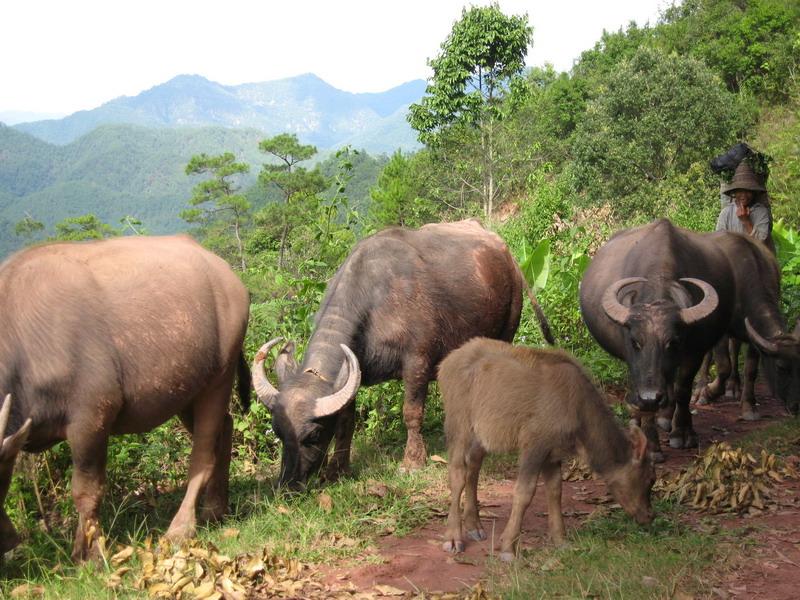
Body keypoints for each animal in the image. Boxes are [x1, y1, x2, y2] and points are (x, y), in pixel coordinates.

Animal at [0, 233, 250, 556]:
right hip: (188, 390)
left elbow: (86, 490)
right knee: (226, 426)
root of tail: (228, 276)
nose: (8, 540)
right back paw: (215, 509)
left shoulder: (92, 419)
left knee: (203, 454)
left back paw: (181, 528)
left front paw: (90, 553)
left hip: (220, 377)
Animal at [252, 218, 552, 490]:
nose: (287, 484)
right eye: (279, 432)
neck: (375, 302)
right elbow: (345, 423)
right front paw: (337, 470)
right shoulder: (350, 374)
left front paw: (412, 462)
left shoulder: (417, 361)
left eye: (313, 435)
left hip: (507, 328)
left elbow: (412, 412)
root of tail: (505, 252)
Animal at [438, 338, 656, 564]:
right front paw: (508, 547)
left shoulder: (553, 454)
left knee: (473, 465)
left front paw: (560, 539)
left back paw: (474, 525)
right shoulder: (535, 445)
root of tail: (444, 364)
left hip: (482, 434)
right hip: (459, 424)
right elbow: (524, 493)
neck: (580, 418)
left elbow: (555, 490)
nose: (650, 515)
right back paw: (453, 537)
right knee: (457, 473)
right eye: (650, 478)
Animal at [580, 220, 800, 460]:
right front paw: (652, 445)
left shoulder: (701, 348)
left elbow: (686, 387)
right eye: (635, 342)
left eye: (672, 342)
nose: (796, 406)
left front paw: (684, 432)